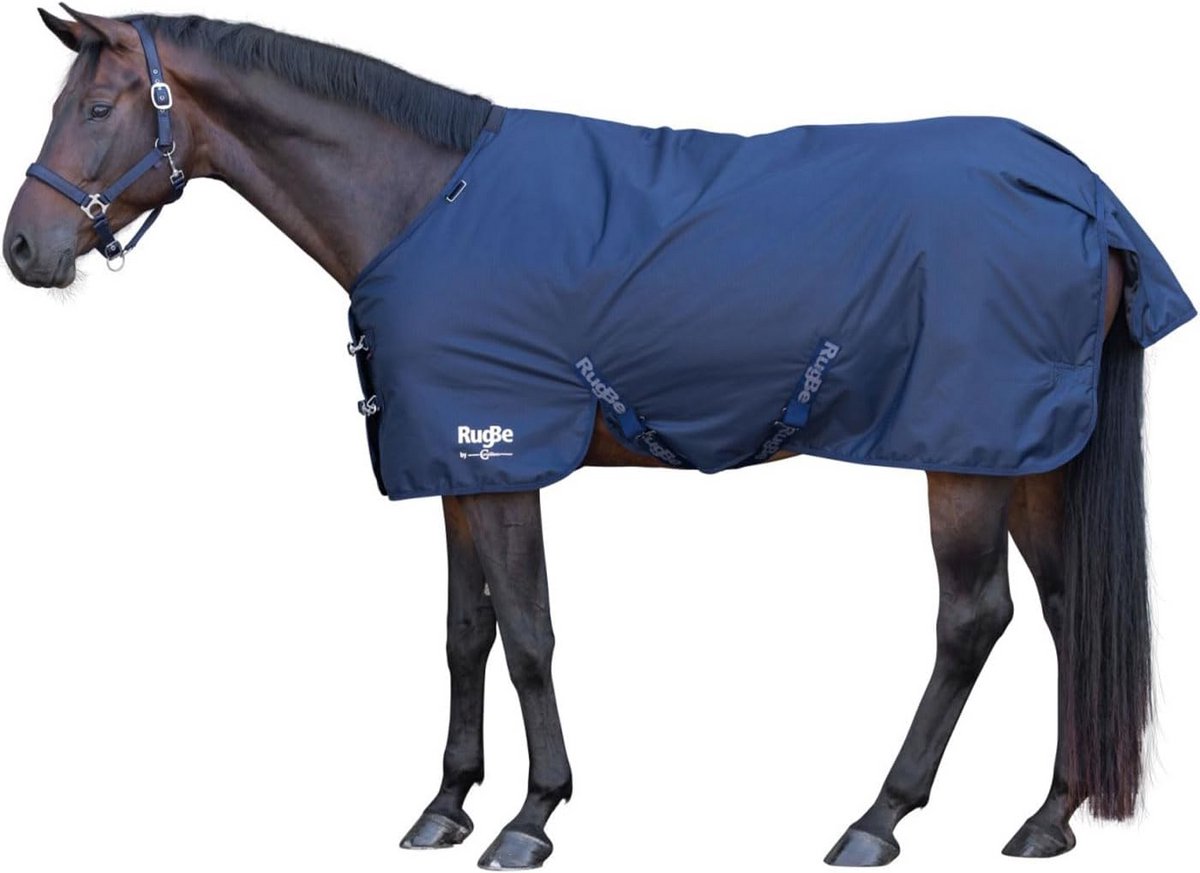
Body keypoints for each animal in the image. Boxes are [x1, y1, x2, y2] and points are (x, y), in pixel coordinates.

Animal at [4, 8, 1193, 869]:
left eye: (99, 105)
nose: (26, 247)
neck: (426, 202)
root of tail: (1087, 196)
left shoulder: (502, 457)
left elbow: (529, 634)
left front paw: (531, 816)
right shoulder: (454, 464)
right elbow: (464, 633)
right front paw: (445, 803)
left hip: (964, 458)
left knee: (973, 620)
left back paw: (877, 819)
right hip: (1028, 457)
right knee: (1070, 612)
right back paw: (1050, 815)